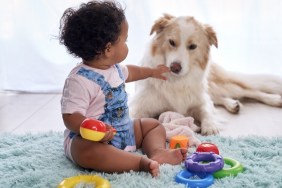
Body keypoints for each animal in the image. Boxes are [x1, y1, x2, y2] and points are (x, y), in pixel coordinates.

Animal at [130, 14, 282, 135]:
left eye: (192, 46)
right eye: (171, 42)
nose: (175, 67)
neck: (177, 81)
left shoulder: (200, 100)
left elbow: (206, 110)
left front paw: (210, 126)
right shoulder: (139, 105)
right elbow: (132, 117)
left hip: (220, 85)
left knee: (251, 91)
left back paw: (274, 99)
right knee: (219, 98)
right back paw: (233, 105)